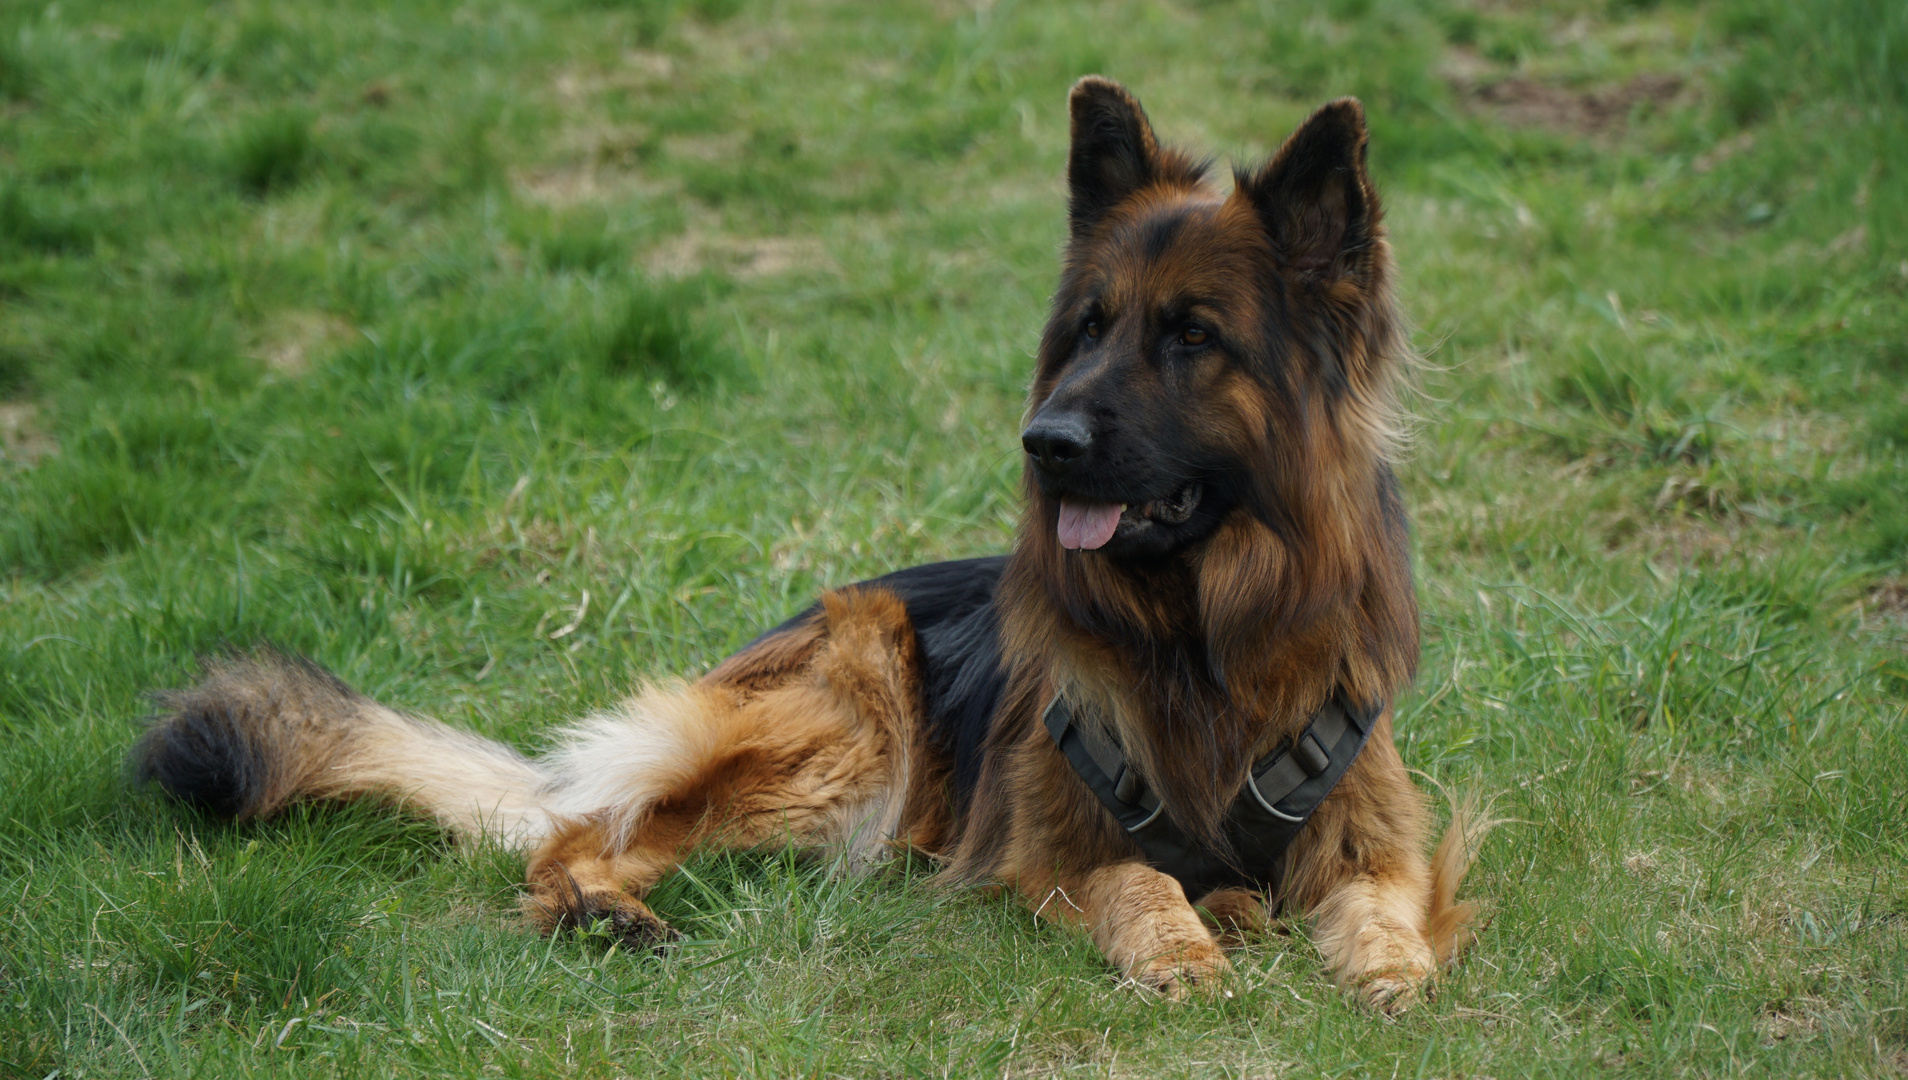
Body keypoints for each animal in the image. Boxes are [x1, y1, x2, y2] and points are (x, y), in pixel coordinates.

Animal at [141, 80, 1495, 1015]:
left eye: (1192, 336)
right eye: (1091, 328)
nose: (1043, 442)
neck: (1199, 633)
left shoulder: (1371, 831)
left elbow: (1381, 910)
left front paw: (1391, 973)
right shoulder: (1046, 850)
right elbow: (1138, 881)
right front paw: (1184, 947)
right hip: (845, 716)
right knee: (584, 835)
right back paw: (600, 910)